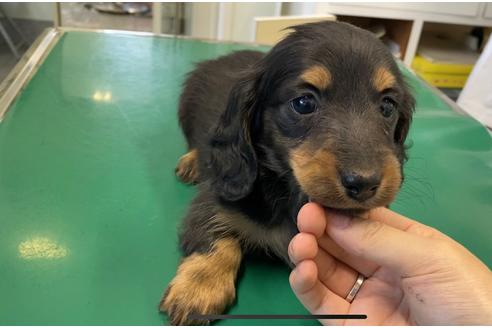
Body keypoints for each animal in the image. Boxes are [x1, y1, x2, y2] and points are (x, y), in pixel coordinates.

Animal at [160, 21, 414, 326]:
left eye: (388, 106)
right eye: (304, 103)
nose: (364, 184)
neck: (288, 190)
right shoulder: (216, 196)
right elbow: (214, 234)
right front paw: (197, 288)